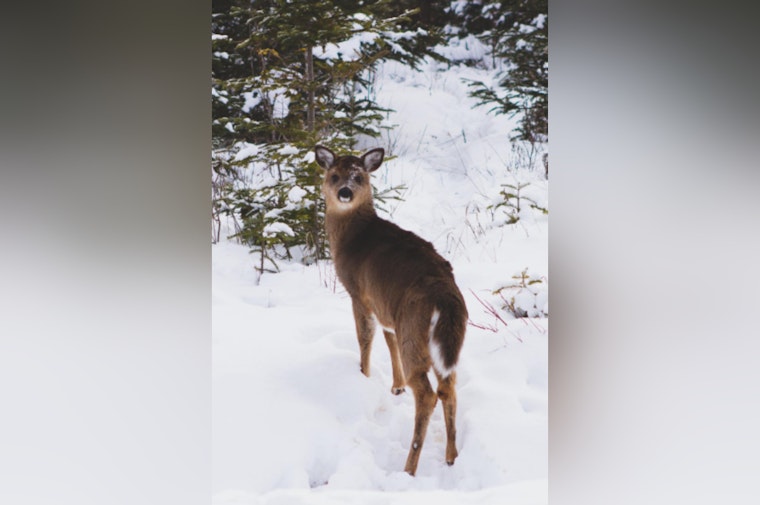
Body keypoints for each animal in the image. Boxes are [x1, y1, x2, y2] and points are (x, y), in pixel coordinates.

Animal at [314, 145, 468, 476]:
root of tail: (445, 298)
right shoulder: (386, 309)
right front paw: (396, 388)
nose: (345, 192)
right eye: (334, 175)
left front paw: (363, 376)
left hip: (414, 328)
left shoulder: (359, 293)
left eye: (358, 176)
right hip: (448, 339)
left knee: (427, 394)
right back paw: (451, 456)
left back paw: (409, 468)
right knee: (449, 386)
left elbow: (365, 339)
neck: (350, 238)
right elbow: (388, 339)